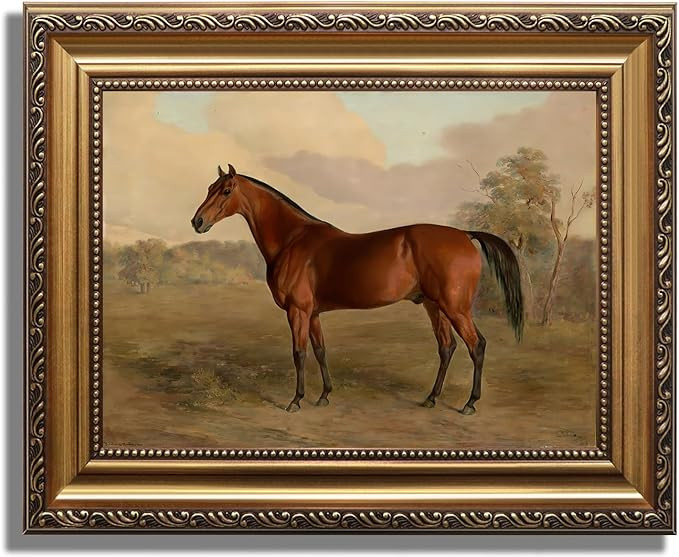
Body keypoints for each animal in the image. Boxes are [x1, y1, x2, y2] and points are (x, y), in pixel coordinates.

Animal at [192, 164, 523, 414]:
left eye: (226, 190)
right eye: (208, 188)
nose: (198, 221)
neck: (293, 240)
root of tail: (465, 235)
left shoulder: (298, 311)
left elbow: (299, 353)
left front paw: (296, 400)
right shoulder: (313, 313)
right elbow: (320, 350)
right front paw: (324, 395)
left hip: (456, 307)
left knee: (476, 346)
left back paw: (470, 404)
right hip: (435, 306)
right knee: (447, 347)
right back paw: (431, 398)